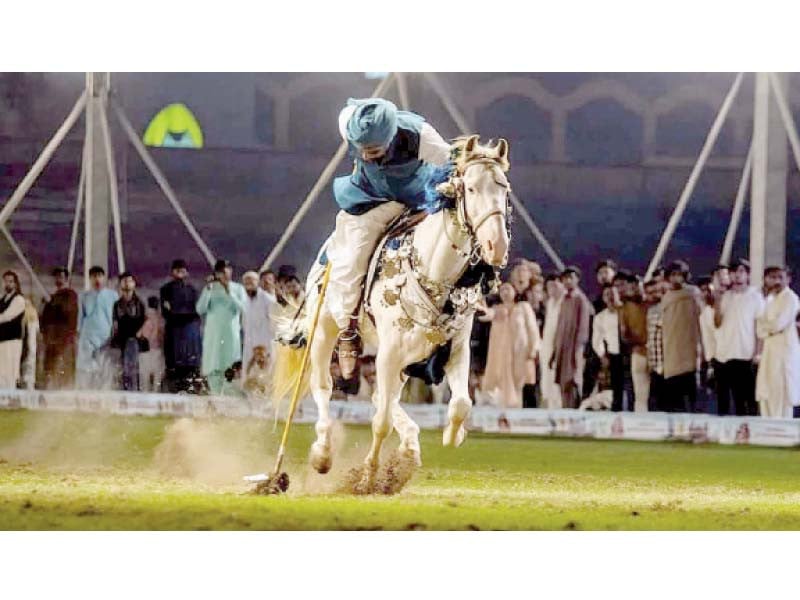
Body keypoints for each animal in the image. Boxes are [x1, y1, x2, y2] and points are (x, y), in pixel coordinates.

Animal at [304, 136, 510, 492]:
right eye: (470, 189)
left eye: (504, 188)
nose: (497, 245)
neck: (435, 273)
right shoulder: (389, 353)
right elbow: (381, 422)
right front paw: (368, 477)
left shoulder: (456, 350)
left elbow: (461, 404)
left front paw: (453, 435)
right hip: (325, 331)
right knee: (324, 387)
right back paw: (323, 452)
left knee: (380, 397)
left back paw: (410, 448)